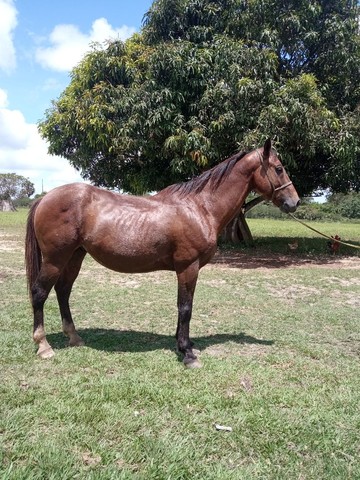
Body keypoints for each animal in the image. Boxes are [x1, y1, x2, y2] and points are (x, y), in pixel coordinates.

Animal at [25, 139, 300, 368]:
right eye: (278, 168)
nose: (295, 202)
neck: (200, 207)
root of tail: (45, 198)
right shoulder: (188, 267)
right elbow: (185, 307)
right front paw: (188, 354)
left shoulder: (186, 269)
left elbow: (184, 306)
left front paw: (183, 344)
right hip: (55, 259)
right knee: (39, 293)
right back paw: (44, 346)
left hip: (75, 256)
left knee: (63, 291)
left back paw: (74, 337)